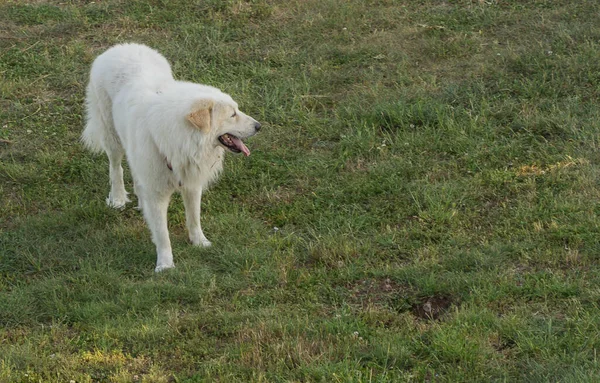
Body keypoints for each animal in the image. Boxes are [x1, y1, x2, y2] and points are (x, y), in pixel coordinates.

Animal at [82, 44, 260, 272]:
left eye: (236, 111)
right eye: (232, 115)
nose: (258, 126)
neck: (181, 139)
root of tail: (120, 47)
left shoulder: (192, 183)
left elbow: (194, 217)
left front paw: (200, 243)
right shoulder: (158, 194)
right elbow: (162, 233)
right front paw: (165, 265)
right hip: (112, 137)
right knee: (116, 168)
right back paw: (118, 198)